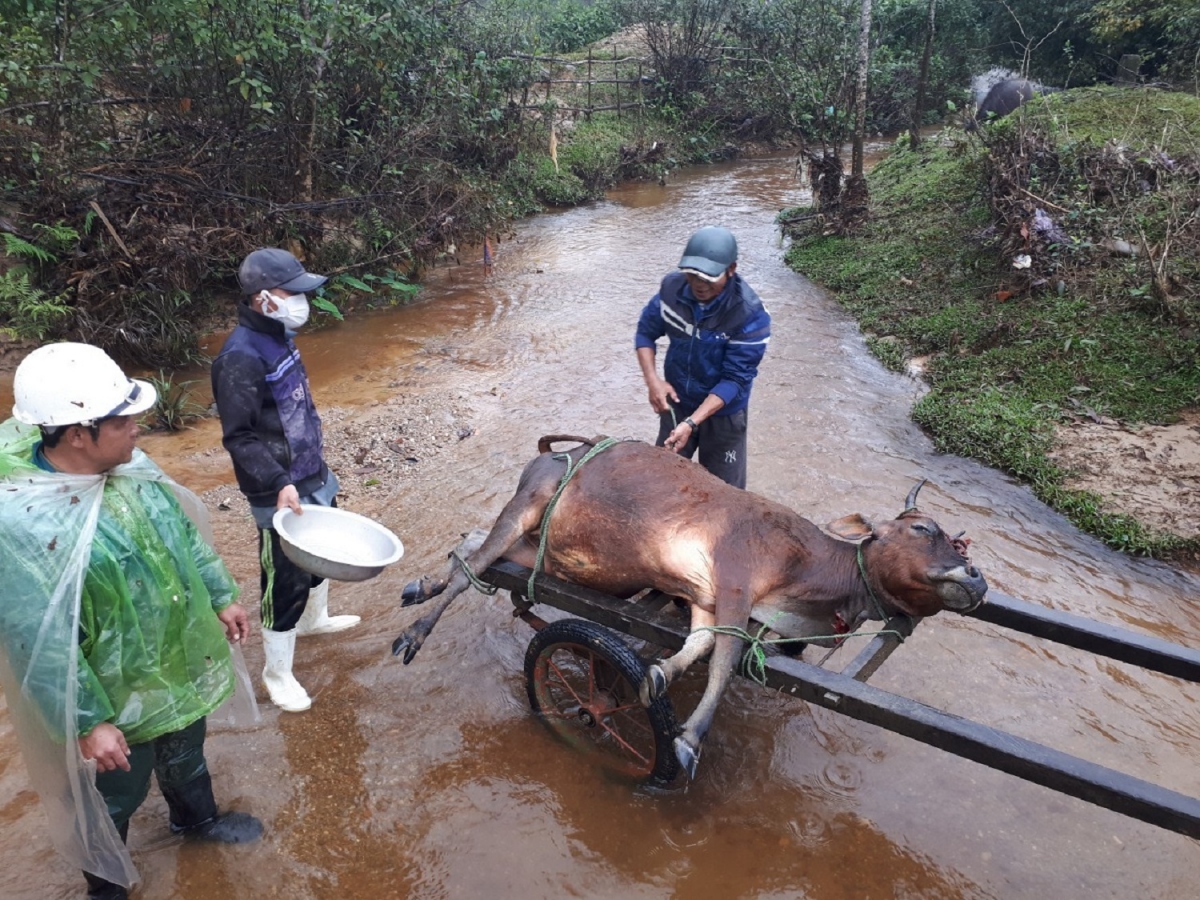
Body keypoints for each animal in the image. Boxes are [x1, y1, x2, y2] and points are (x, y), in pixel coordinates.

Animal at [393, 434, 984, 777]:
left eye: (956, 540)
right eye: (922, 529)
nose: (975, 576)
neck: (807, 574)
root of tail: (552, 451)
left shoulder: (706, 598)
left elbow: (698, 646)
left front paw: (658, 674)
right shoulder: (736, 582)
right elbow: (724, 663)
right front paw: (687, 741)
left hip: (546, 549)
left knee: (473, 548)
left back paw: (422, 585)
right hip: (530, 503)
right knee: (475, 565)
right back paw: (415, 631)